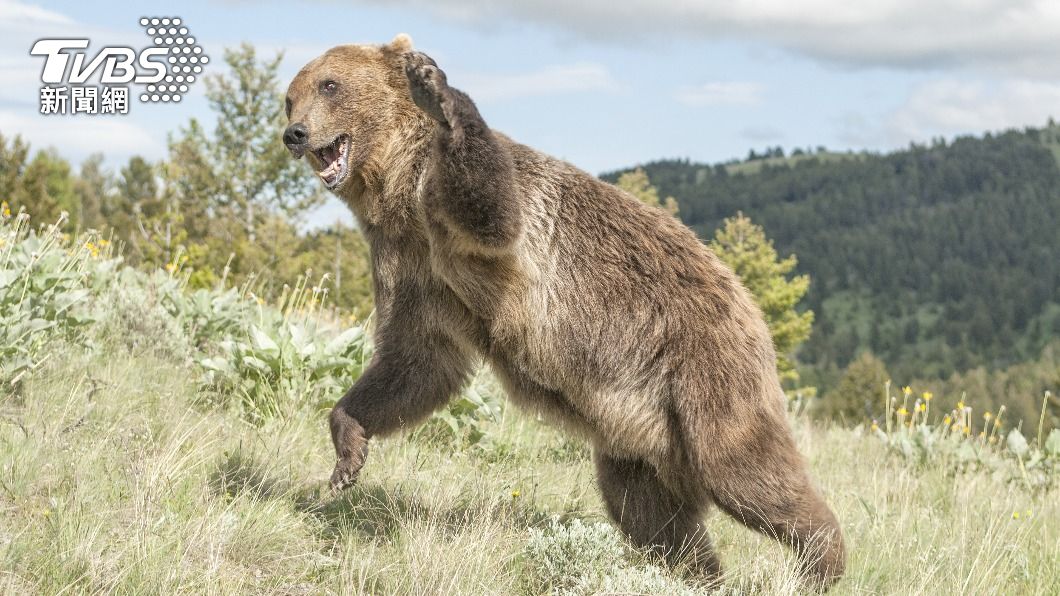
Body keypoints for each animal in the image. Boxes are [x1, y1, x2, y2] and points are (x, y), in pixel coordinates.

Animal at [283, 34, 845, 589]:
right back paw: (695, 571)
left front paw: (437, 92)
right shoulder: (411, 264)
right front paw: (347, 450)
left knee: (741, 469)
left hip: (703, 368)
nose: (295, 133)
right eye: (291, 96)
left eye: (329, 85)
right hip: (641, 433)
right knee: (648, 510)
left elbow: (492, 211)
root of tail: (747, 300)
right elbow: (417, 360)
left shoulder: (476, 221)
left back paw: (823, 557)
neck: (397, 189)